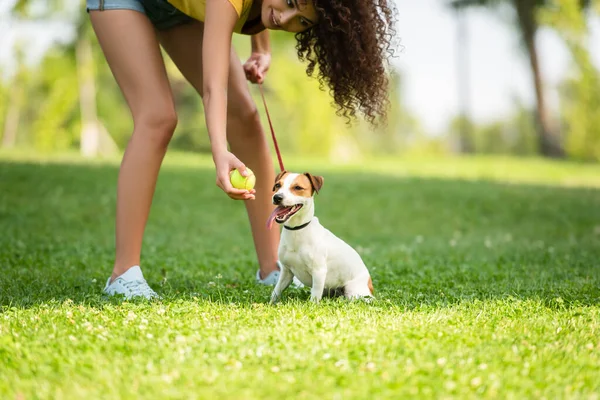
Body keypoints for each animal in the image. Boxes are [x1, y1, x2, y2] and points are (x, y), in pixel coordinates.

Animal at [268, 169, 376, 304]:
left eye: (297, 187)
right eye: (278, 185)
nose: (277, 197)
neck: (297, 230)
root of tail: (370, 286)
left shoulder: (318, 272)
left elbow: (315, 296)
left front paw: (311, 307)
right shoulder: (286, 272)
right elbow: (276, 291)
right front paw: (270, 304)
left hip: (353, 292)